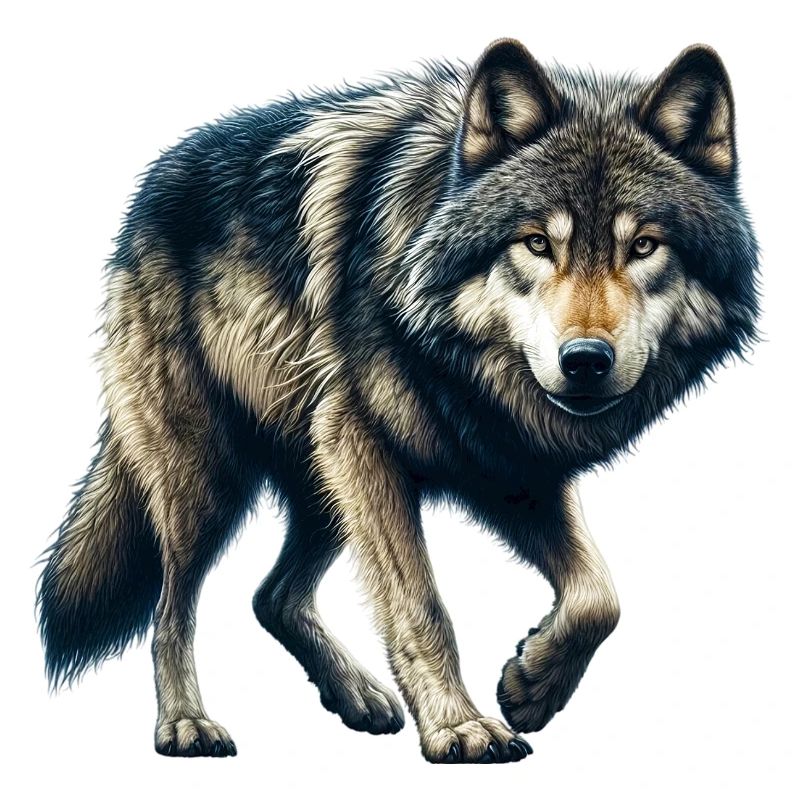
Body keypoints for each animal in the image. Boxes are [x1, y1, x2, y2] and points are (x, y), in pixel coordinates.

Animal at [37, 39, 759, 763]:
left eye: (643, 246)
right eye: (536, 243)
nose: (585, 361)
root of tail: (150, 185)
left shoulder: (508, 468)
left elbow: (600, 597)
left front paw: (533, 686)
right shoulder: (367, 444)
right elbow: (421, 606)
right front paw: (459, 727)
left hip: (323, 480)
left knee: (272, 597)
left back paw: (355, 694)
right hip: (213, 480)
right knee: (170, 608)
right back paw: (186, 723)